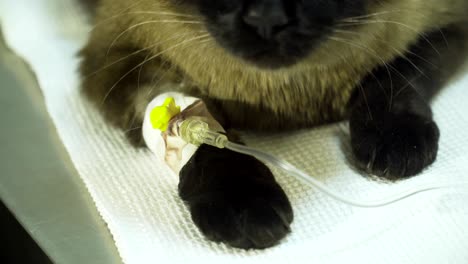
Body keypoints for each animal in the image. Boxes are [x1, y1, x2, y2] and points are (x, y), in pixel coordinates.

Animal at [79, 0, 468, 249]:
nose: (266, 17)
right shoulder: (120, 61)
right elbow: (201, 131)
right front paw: (244, 204)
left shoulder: (445, 23)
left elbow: (395, 74)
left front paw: (395, 141)